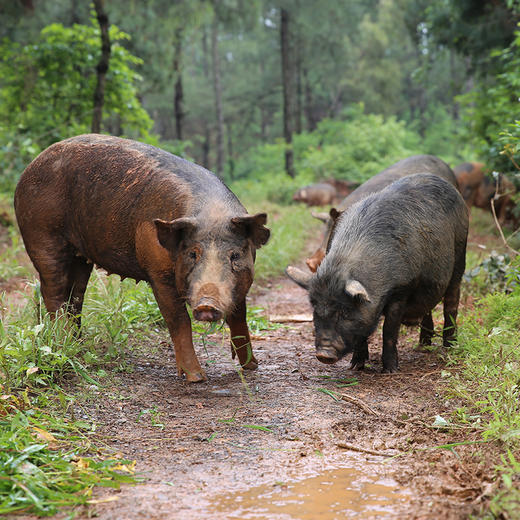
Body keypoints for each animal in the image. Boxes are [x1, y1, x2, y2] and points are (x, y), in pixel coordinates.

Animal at [14, 136, 270, 384]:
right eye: (192, 254)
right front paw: (196, 378)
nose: (207, 304)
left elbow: (240, 316)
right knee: (53, 293)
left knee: (75, 297)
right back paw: (64, 341)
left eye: (235, 255)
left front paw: (252, 367)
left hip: (81, 256)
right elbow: (179, 321)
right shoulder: (158, 273)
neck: (212, 212)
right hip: (41, 236)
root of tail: (29, 169)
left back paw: (78, 345)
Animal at [286, 175, 470, 374]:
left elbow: (389, 330)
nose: (323, 354)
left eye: (345, 311)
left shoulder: (401, 290)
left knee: (451, 302)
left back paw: (449, 346)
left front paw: (390, 370)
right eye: (316, 309)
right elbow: (362, 333)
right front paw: (355, 367)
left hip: (460, 256)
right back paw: (423, 346)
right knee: (428, 306)